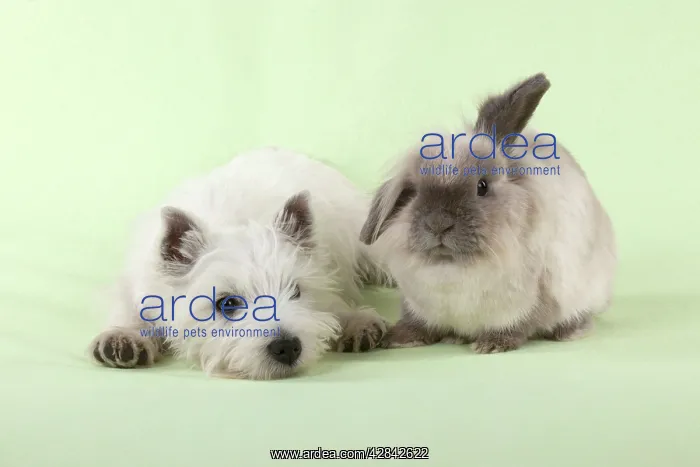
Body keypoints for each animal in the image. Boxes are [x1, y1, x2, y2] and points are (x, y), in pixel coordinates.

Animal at [89, 146, 391, 379]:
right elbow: (130, 308)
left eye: (295, 291)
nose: (288, 347)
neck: (233, 220)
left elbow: (333, 301)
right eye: (228, 303)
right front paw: (123, 337)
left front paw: (356, 321)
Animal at [360, 73, 617, 353]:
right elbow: (419, 325)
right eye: (414, 192)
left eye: (482, 187)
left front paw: (492, 344)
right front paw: (398, 338)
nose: (438, 224)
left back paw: (569, 332)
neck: (452, 269)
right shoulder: (418, 306)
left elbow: (519, 325)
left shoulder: (530, 303)